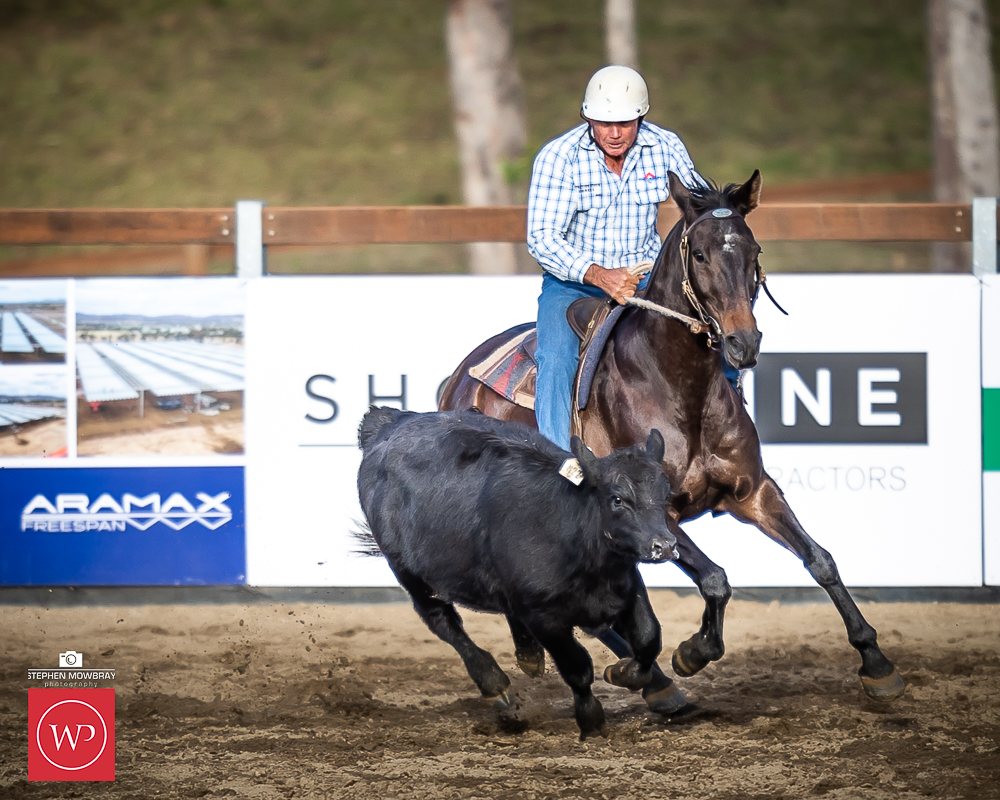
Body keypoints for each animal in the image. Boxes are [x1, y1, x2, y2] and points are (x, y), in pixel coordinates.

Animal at [356, 407, 678, 739]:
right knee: (443, 622)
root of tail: (391, 423)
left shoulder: (626, 587)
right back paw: (493, 683)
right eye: (617, 499)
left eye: (666, 495)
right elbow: (577, 668)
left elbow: (648, 637)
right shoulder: (543, 616)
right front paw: (591, 719)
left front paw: (624, 673)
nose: (664, 546)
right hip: (410, 574)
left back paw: (529, 656)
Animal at [438, 170, 906, 712]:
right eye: (699, 254)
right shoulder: (657, 514)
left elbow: (820, 560)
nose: (744, 343)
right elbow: (715, 579)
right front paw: (692, 652)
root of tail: (458, 379)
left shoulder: (755, 491)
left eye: (754, 250)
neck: (678, 385)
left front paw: (876, 662)